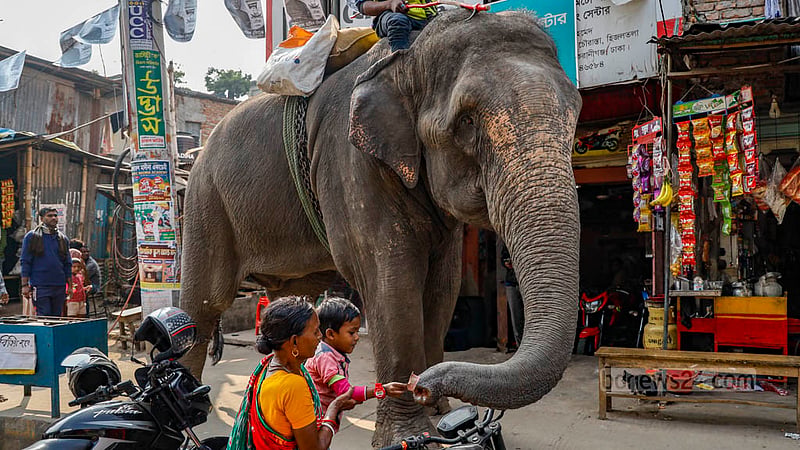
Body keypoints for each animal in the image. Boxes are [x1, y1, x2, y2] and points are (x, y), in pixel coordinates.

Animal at [180, 9, 581, 447]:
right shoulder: (350, 163)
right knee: (205, 304)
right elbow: (393, 282)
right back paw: (192, 410)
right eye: (467, 121)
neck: (406, 59)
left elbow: (443, 287)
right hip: (205, 202)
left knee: (290, 297)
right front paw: (408, 433)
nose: (421, 384)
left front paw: (443, 414)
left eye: (575, 114)